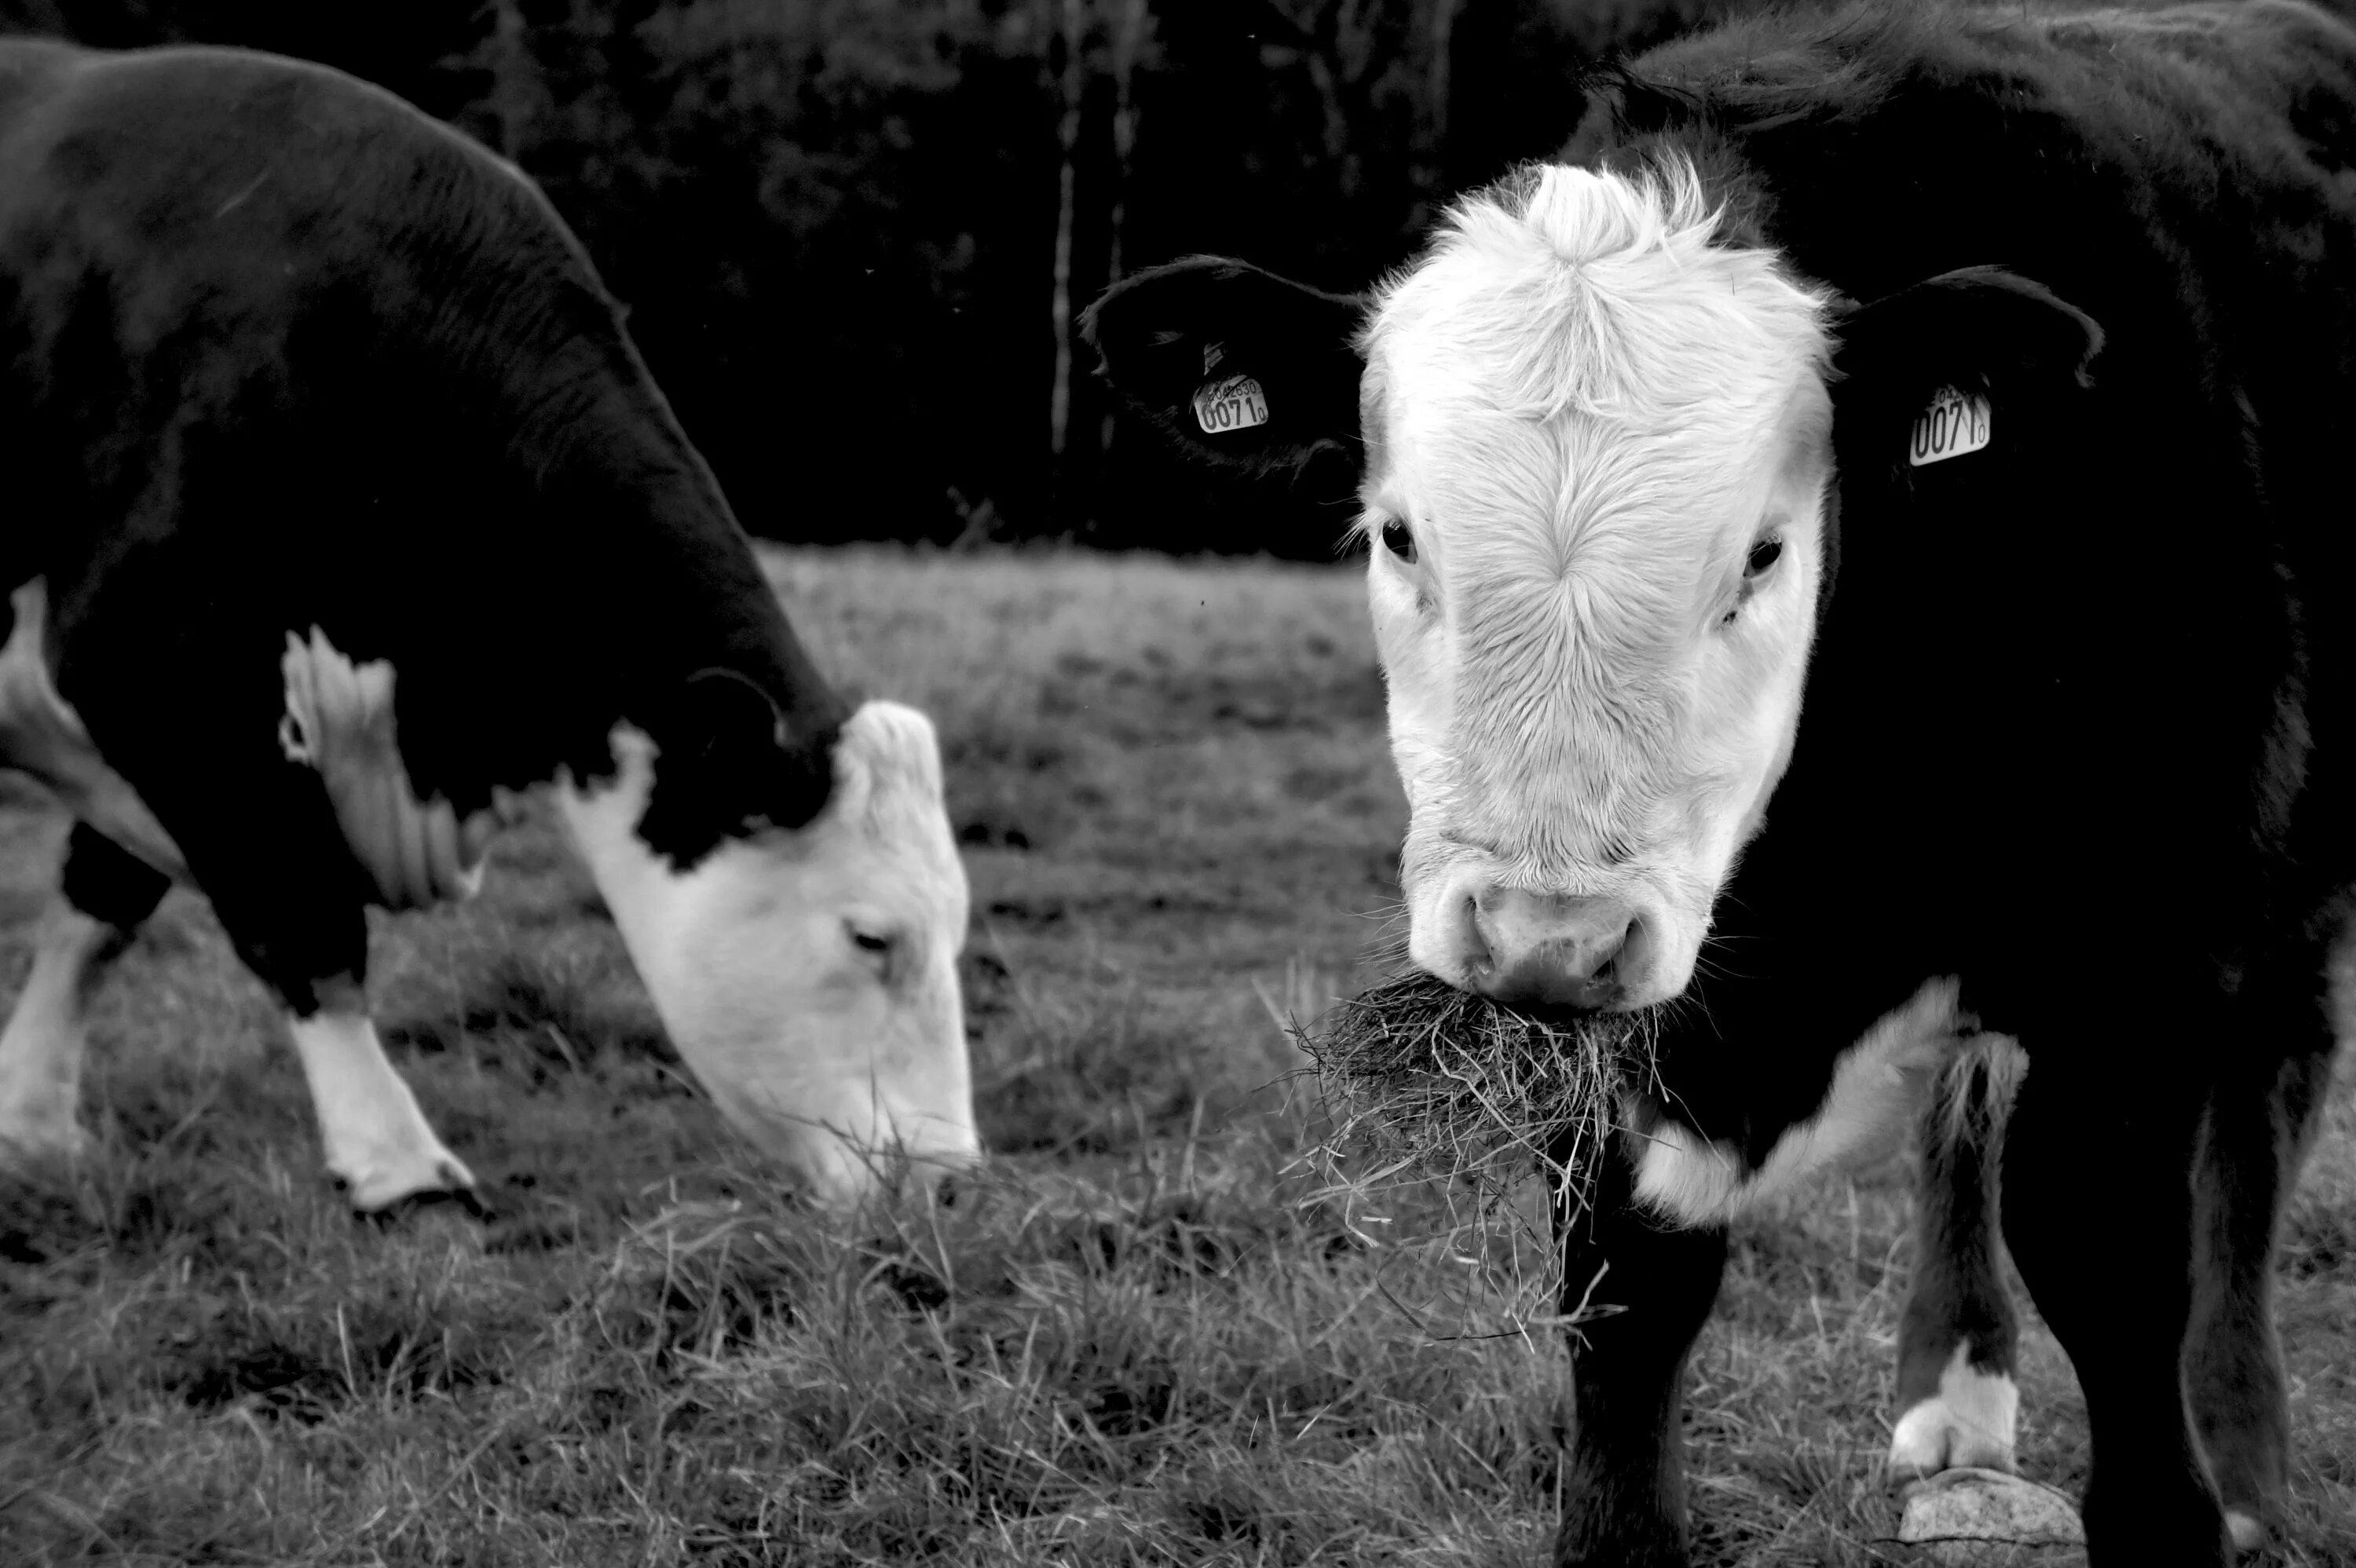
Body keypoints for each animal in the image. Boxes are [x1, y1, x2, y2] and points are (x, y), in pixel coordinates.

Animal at [0, 36, 975, 1205]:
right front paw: (396, 1161)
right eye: (871, 935)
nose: (954, 1179)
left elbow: (95, 908)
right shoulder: (155, 659)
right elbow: (300, 909)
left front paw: (29, 1124)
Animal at [1084, 2, 2356, 1563]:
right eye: (1396, 533)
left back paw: (2245, 1465)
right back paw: (1956, 1403)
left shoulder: (2151, 948)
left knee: (2262, 1121)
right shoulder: (1636, 1064)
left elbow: (2111, 1262)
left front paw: (2190, 1502)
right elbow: (1628, 1296)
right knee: (1965, 1116)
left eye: (1761, 550)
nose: (1547, 937)